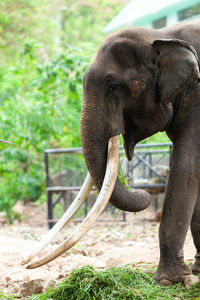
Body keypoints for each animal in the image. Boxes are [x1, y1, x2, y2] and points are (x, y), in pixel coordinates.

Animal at [23, 20, 200, 286]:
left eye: (113, 87)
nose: (144, 193)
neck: (160, 35)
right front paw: (194, 272)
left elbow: (186, 165)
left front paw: (168, 281)